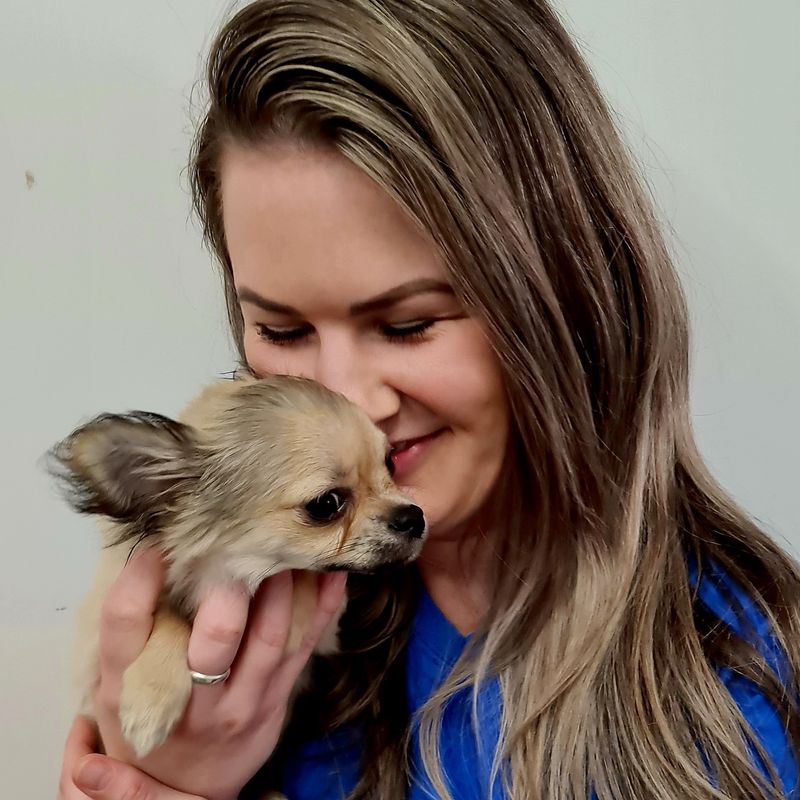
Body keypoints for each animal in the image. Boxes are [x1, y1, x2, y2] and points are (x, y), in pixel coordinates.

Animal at [49, 372, 426, 758]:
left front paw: (296, 616)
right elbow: (171, 616)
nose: (413, 517)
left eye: (390, 463)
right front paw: (151, 697)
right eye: (326, 504)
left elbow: (303, 579)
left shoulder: (327, 631)